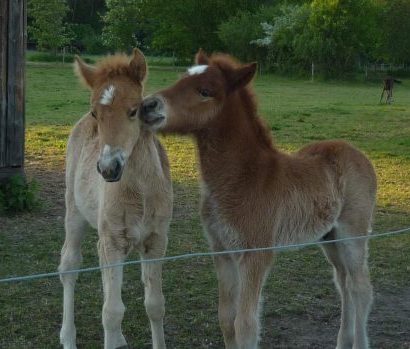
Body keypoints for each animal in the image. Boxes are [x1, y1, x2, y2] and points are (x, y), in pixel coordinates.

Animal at [58, 49, 172, 348]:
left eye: (134, 110)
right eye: (95, 112)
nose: (109, 168)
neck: (140, 192)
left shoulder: (156, 240)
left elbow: (155, 304)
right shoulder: (112, 241)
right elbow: (111, 312)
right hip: (74, 212)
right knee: (69, 266)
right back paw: (68, 337)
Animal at [139, 49, 376, 348]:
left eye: (205, 91)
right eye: (182, 77)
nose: (147, 106)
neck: (242, 179)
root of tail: (357, 153)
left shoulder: (256, 255)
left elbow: (246, 325)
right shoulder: (222, 251)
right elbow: (226, 318)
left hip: (352, 233)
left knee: (360, 288)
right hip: (329, 237)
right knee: (343, 283)